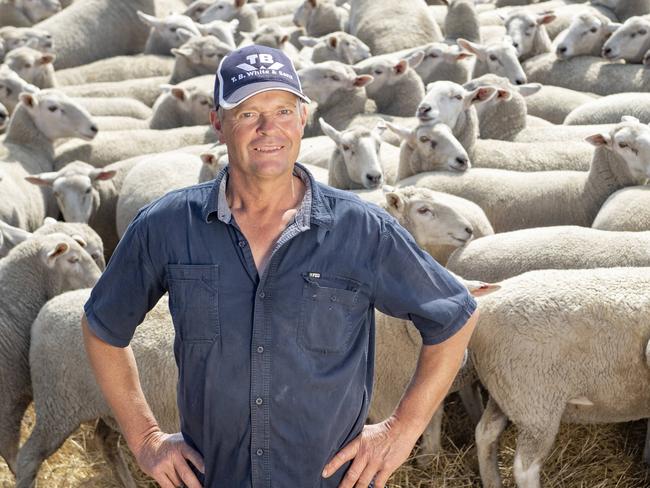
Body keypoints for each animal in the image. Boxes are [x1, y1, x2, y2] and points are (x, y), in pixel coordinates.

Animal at [470, 266, 650, 488]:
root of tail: (482, 309)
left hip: (504, 389)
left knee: (485, 433)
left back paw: (492, 481)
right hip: (535, 402)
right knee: (524, 468)